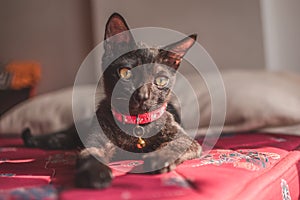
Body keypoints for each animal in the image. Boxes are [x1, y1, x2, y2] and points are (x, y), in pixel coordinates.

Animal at [22, 12, 202, 189]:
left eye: (161, 81)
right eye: (125, 72)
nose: (143, 96)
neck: (135, 127)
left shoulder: (185, 138)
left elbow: (175, 145)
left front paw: (157, 158)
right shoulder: (96, 141)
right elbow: (89, 154)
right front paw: (96, 173)